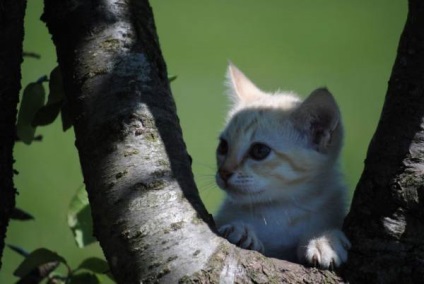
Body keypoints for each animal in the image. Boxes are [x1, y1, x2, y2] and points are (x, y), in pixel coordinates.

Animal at [215, 63, 352, 270]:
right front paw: (239, 228)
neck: (279, 212)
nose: (223, 172)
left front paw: (325, 240)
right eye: (223, 146)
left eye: (259, 151)